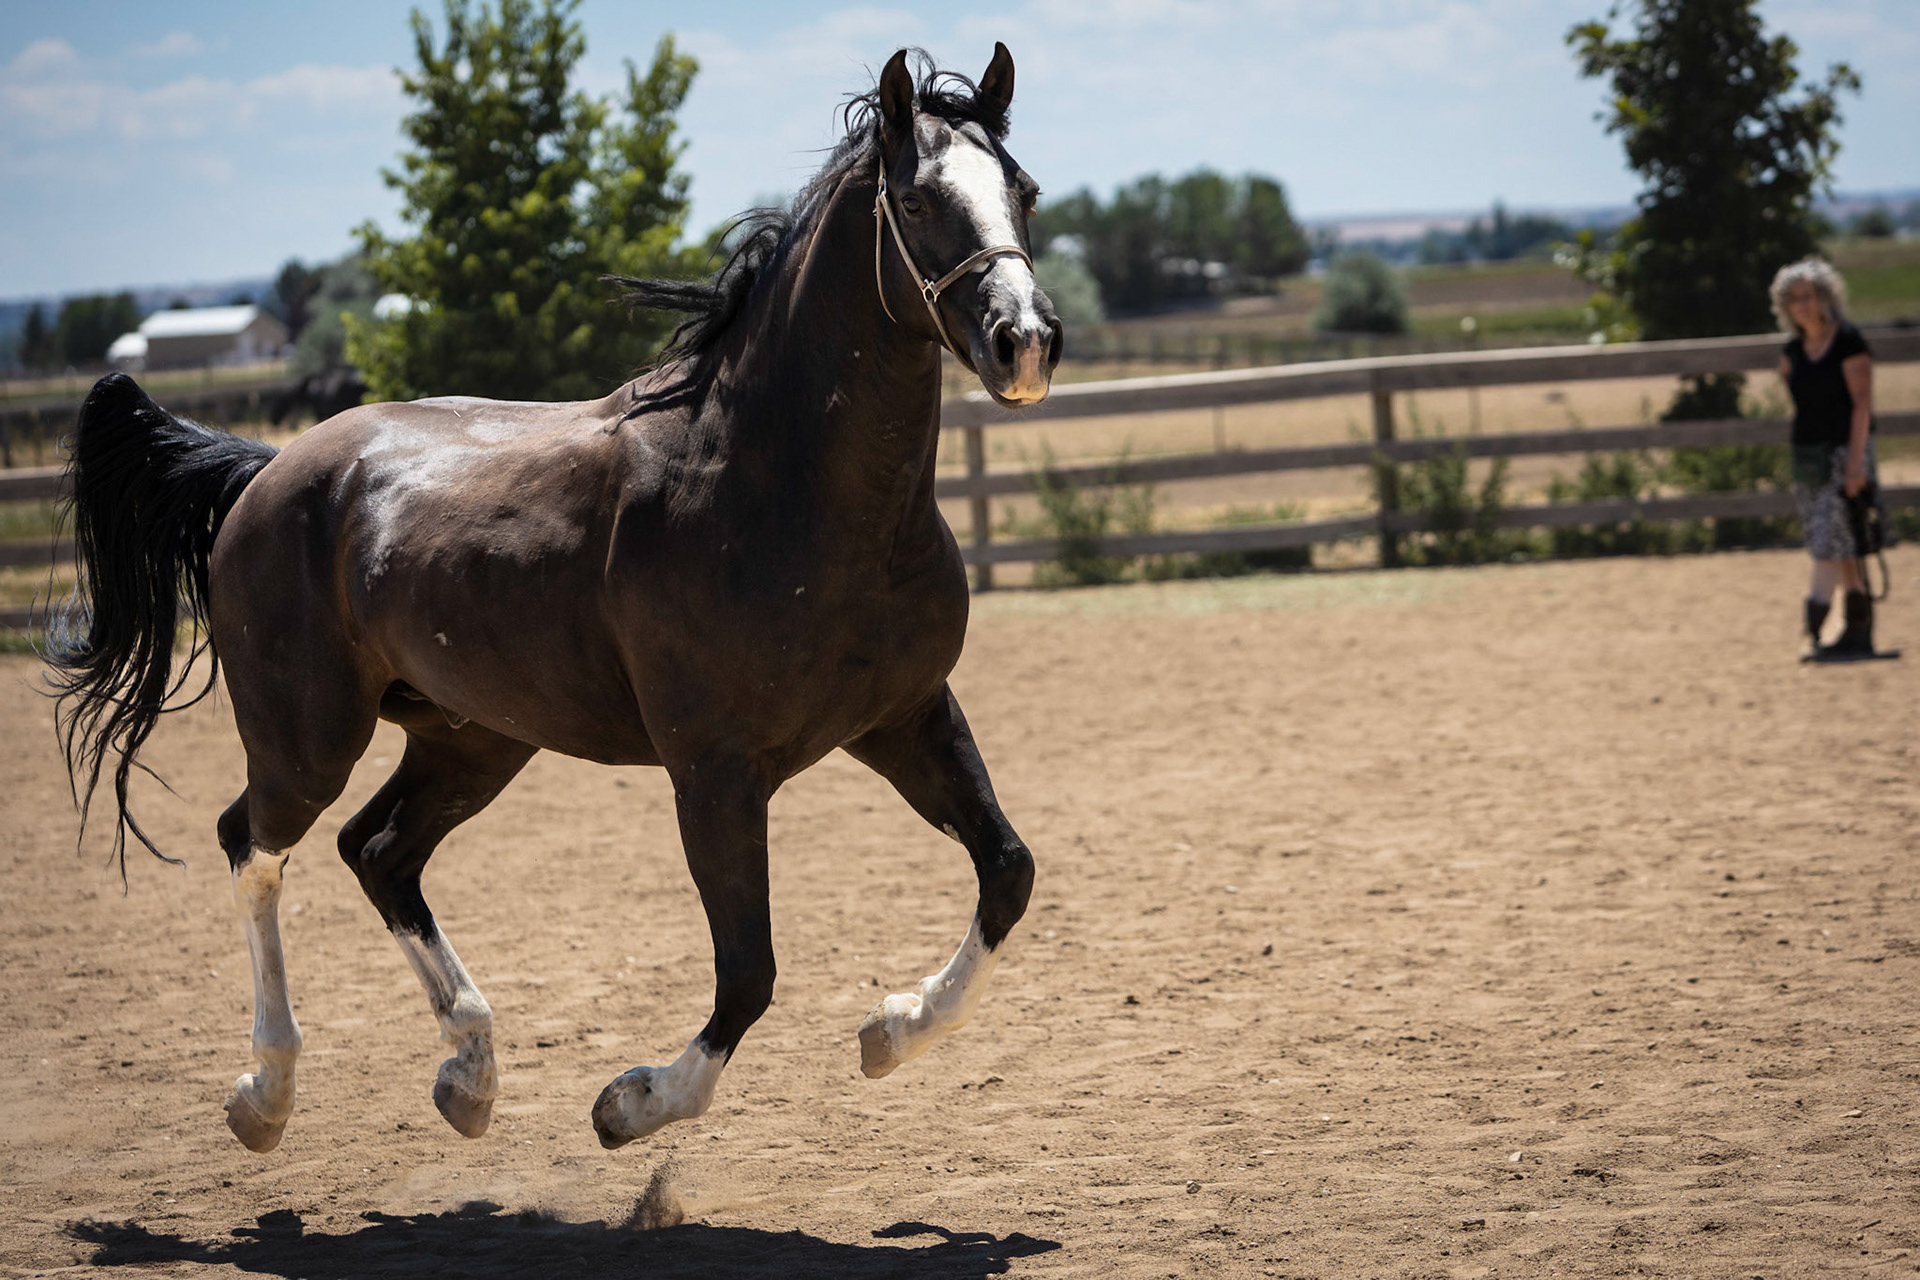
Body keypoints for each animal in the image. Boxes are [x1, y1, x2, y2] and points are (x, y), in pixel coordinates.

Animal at [50, 44, 1061, 1154]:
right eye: (917, 199)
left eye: (1024, 189)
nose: (1025, 342)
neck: (776, 486)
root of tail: (265, 473)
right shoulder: (715, 771)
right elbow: (748, 969)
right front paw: (637, 1101)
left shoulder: (905, 715)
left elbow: (1008, 870)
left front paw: (891, 1027)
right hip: (307, 737)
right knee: (254, 845)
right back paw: (265, 1092)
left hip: (473, 737)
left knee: (378, 851)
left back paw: (469, 1071)